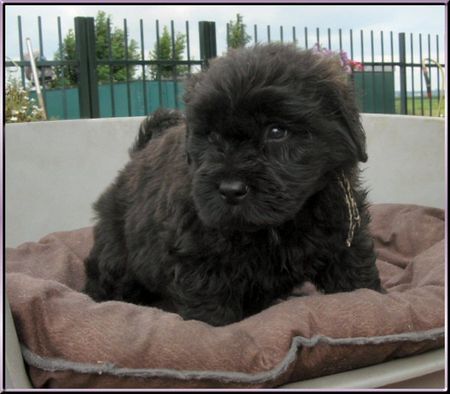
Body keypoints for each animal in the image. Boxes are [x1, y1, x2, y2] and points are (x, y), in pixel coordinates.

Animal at [82, 43, 382, 326]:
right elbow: (212, 319)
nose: (230, 190)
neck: (276, 227)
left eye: (277, 131)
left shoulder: (344, 238)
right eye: (212, 136)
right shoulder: (201, 263)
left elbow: (360, 283)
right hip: (118, 257)